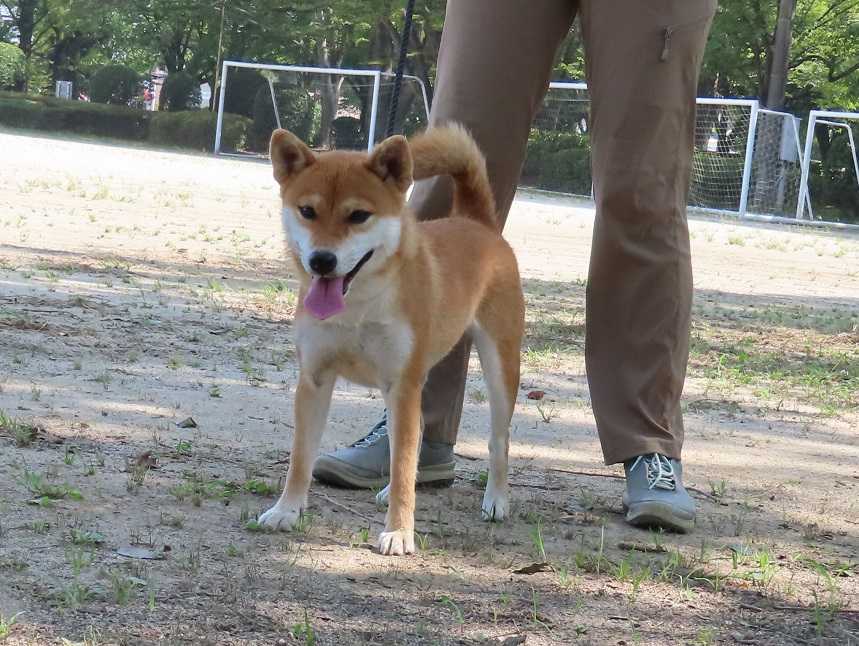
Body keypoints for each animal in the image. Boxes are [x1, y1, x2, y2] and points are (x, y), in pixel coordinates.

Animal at [258, 124, 524, 555]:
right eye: (307, 211)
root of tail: (478, 224)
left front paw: (400, 531)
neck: (357, 305)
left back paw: (497, 499)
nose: (322, 261)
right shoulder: (315, 380)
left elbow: (401, 465)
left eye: (358, 216)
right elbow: (301, 459)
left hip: (499, 368)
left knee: (498, 441)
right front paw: (287, 510)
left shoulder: (402, 385)